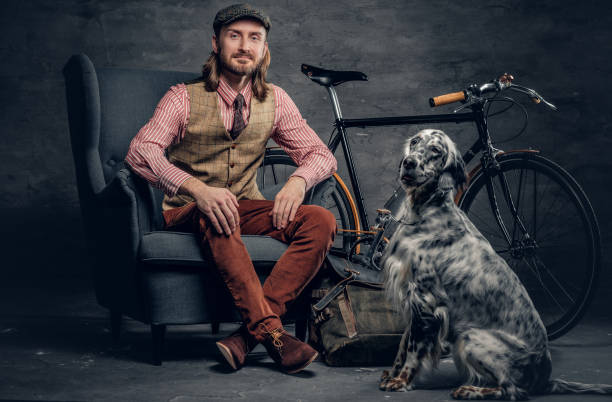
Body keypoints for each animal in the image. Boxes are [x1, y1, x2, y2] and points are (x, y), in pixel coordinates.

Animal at [380, 130, 608, 400]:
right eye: (415, 142)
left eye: (436, 150)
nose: (409, 162)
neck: (426, 209)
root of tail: (545, 378)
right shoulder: (411, 296)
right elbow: (403, 344)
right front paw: (392, 375)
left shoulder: (426, 300)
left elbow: (413, 349)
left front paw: (402, 381)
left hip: (470, 335)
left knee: (514, 390)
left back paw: (470, 390)